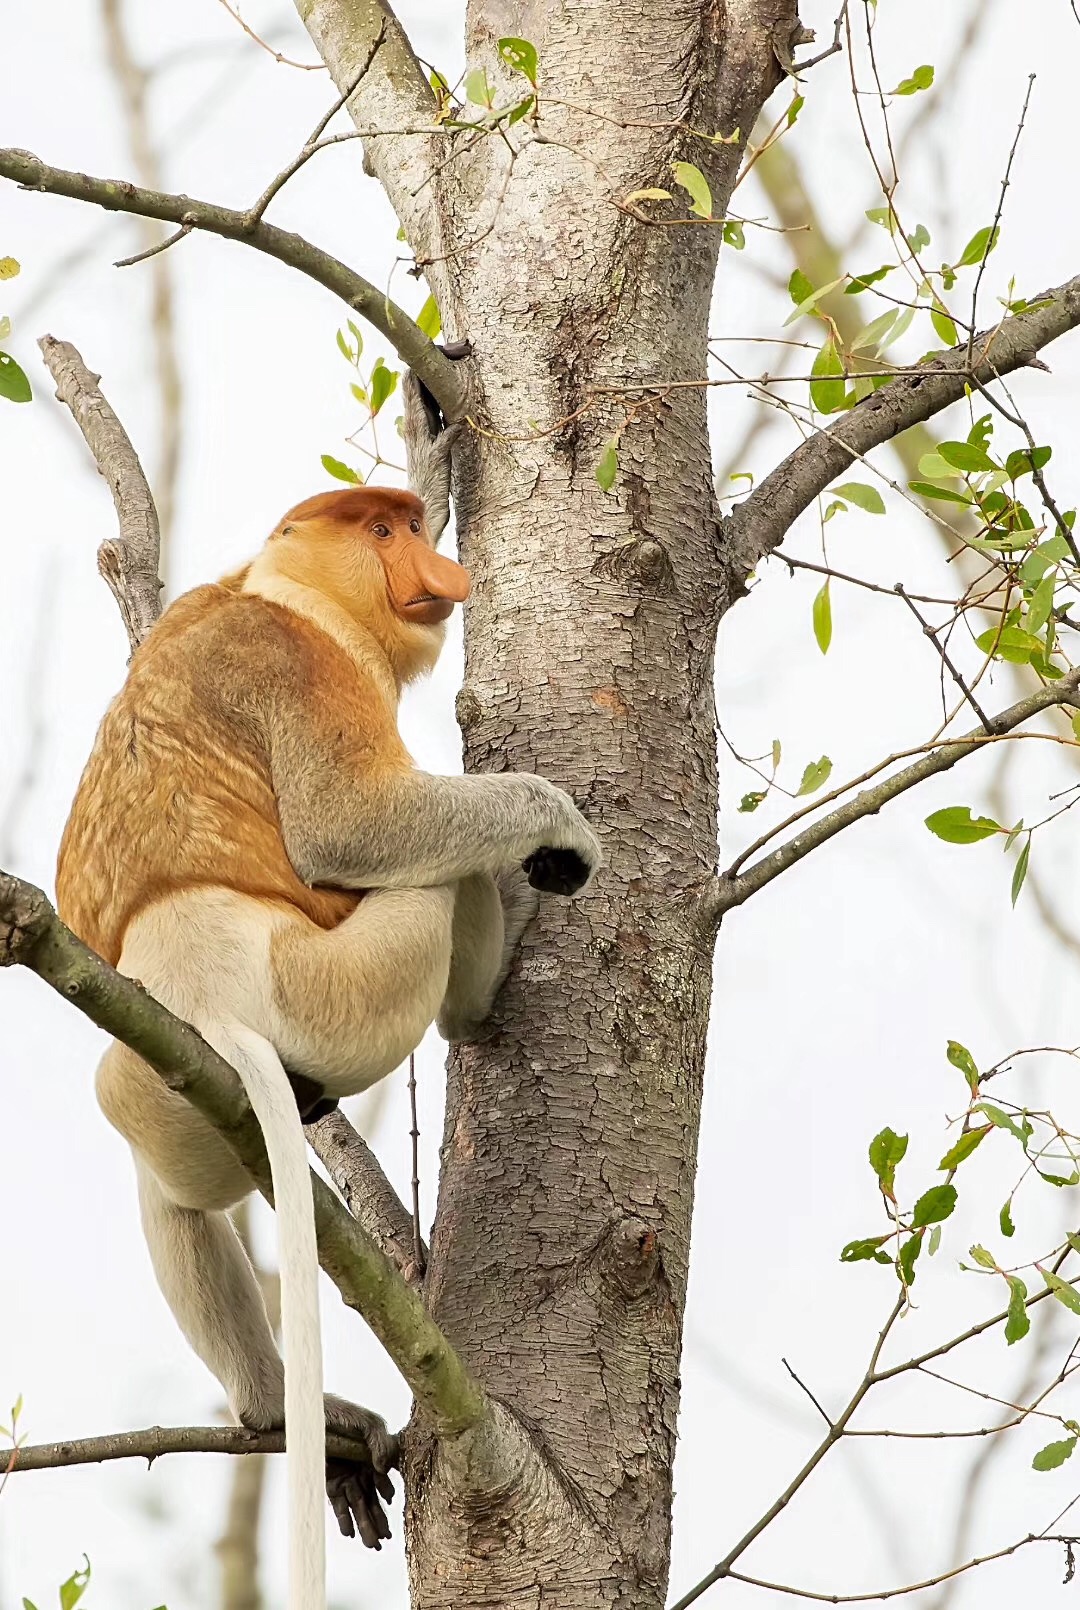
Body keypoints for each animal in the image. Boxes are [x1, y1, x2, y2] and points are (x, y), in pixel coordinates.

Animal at [57, 370, 598, 1603]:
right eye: (380, 534)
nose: (434, 567)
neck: (283, 587)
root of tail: (200, 982)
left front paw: (435, 447)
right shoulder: (302, 665)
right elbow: (349, 824)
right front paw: (557, 829)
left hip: (159, 1086)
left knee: (168, 1184)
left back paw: (273, 1409)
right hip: (336, 989)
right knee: (428, 873)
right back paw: (486, 984)